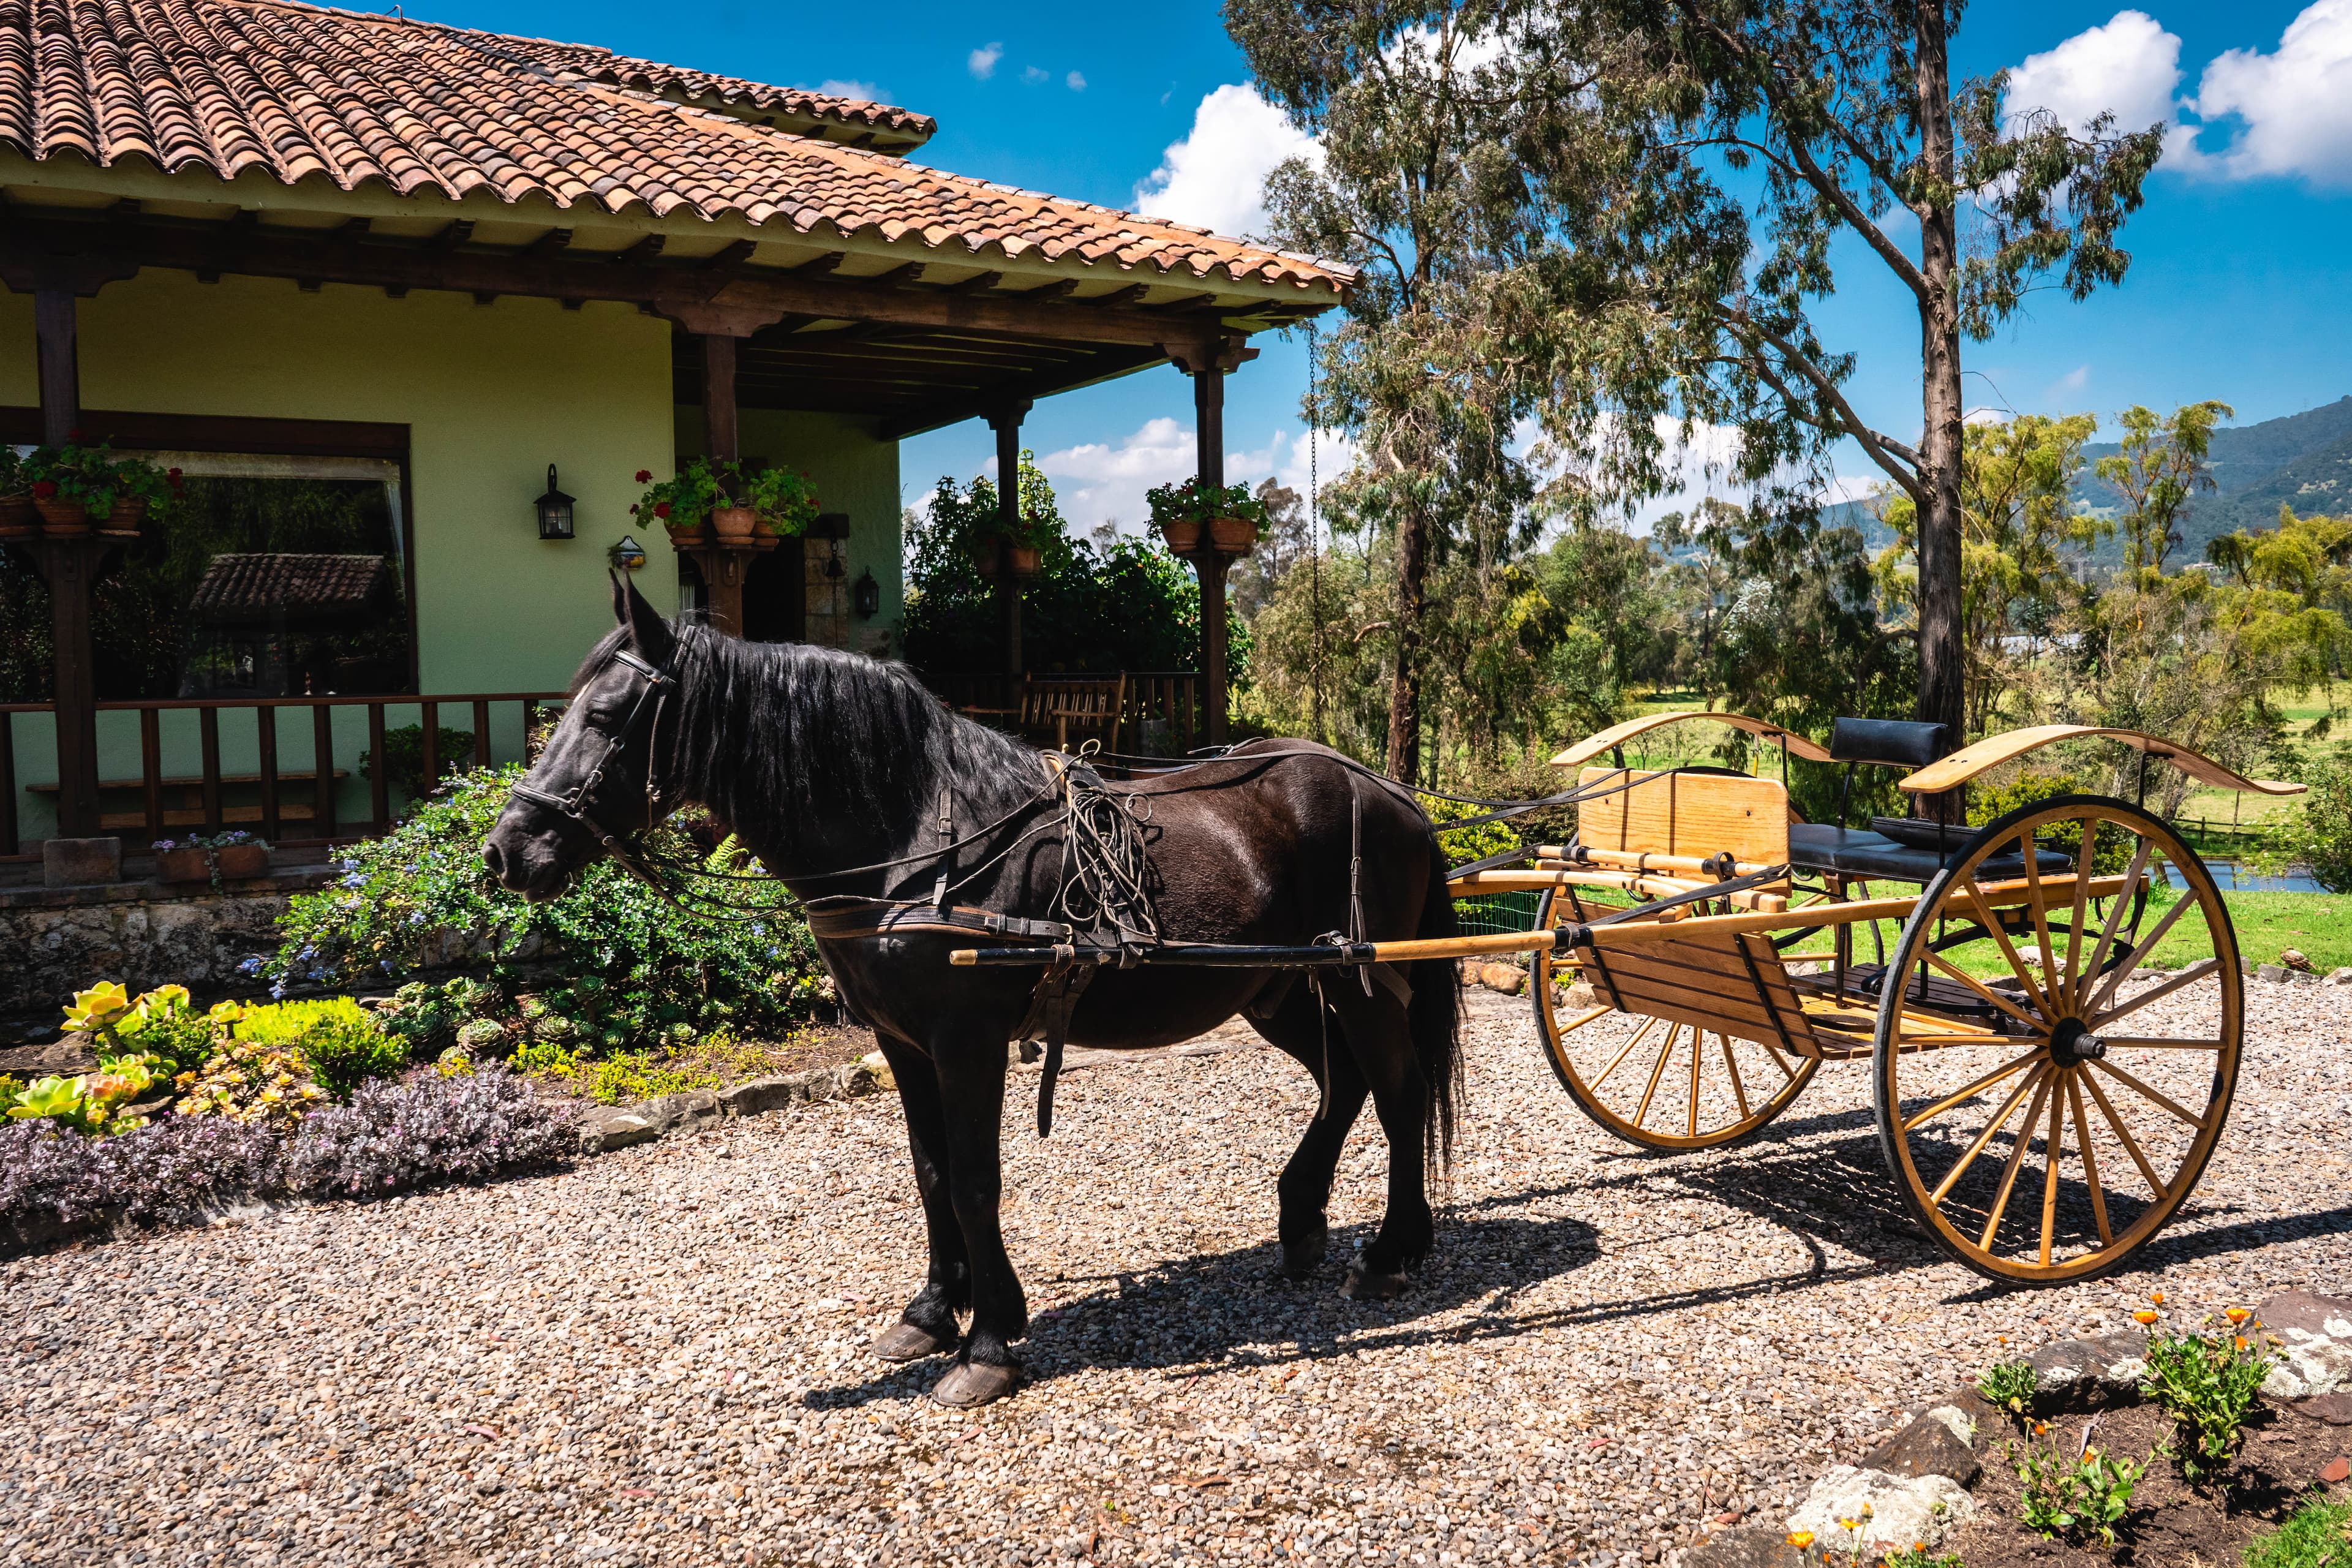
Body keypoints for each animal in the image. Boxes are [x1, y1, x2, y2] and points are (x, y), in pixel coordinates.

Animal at [486, 581, 1458, 1410]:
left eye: (605, 716)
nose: (506, 851)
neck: (915, 836)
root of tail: (1390, 792)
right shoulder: (904, 1042)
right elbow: (929, 1174)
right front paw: (930, 1314)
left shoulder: (968, 1041)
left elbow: (974, 1180)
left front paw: (987, 1343)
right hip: (1278, 987)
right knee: (1347, 1086)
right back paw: (1302, 1223)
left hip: (1361, 981)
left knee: (1400, 1092)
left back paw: (1392, 1252)